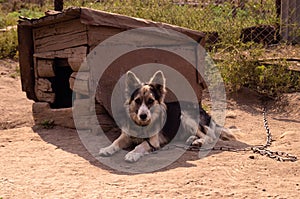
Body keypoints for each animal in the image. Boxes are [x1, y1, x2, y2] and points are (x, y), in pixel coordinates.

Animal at [99, 70, 236, 162]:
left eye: (151, 101)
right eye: (137, 101)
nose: (143, 116)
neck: (142, 125)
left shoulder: (153, 141)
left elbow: (140, 145)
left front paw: (133, 153)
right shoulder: (126, 135)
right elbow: (116, 142)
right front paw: (107, 148)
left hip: (185, 117)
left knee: (210, 136)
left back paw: (198, 141)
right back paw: (192, 139)